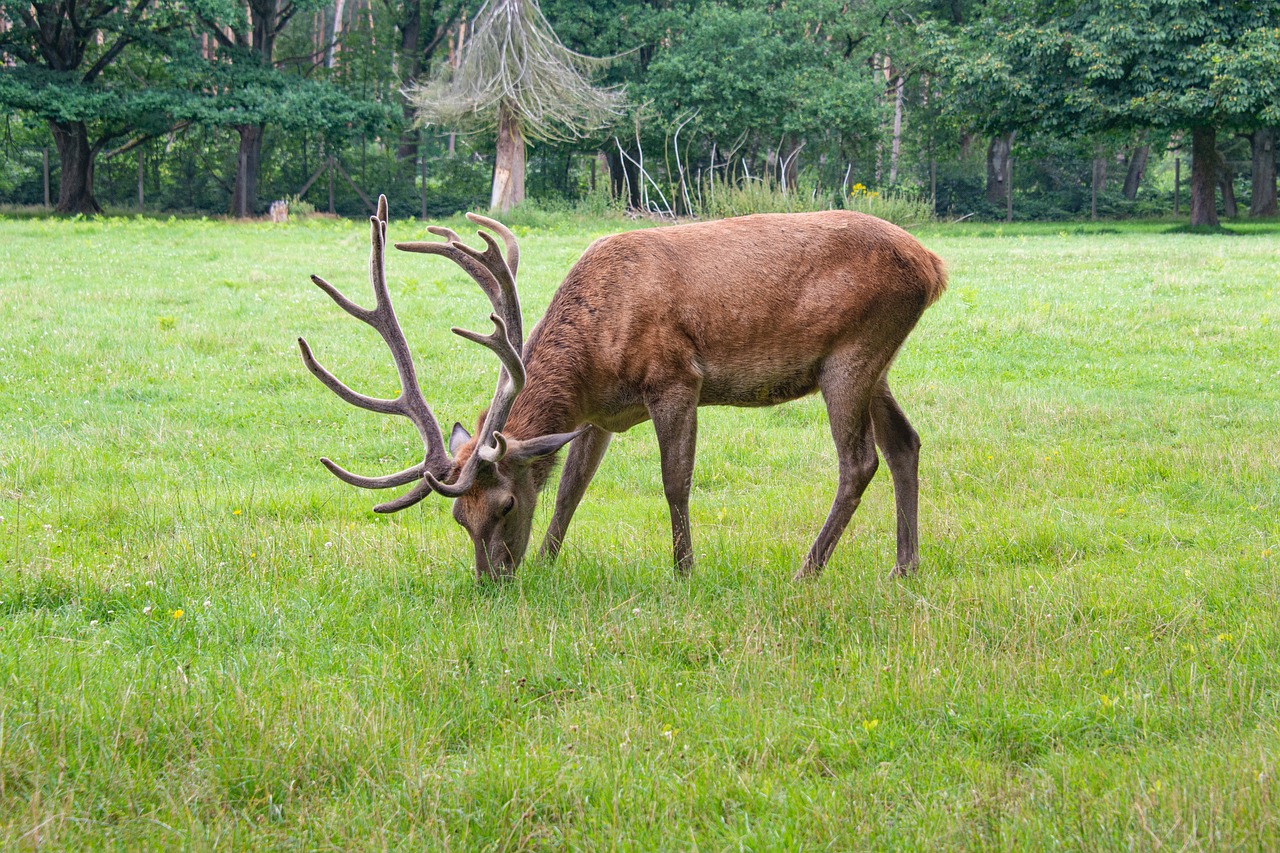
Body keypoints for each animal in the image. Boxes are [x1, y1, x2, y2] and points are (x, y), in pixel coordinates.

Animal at [296, 194, 942, 578]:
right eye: (460, 518)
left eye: (505, 505)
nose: (492, 581)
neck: (595, 357)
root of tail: (934, 266)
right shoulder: (598, 414)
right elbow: (570, 489)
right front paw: (548, 562)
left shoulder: (676, 378)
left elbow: (675, 482)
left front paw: (684, 570)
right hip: (877, 363)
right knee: (905, 442)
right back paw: (904, 567)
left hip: (851, 354)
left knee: (859, 461)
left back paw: (808, 569)